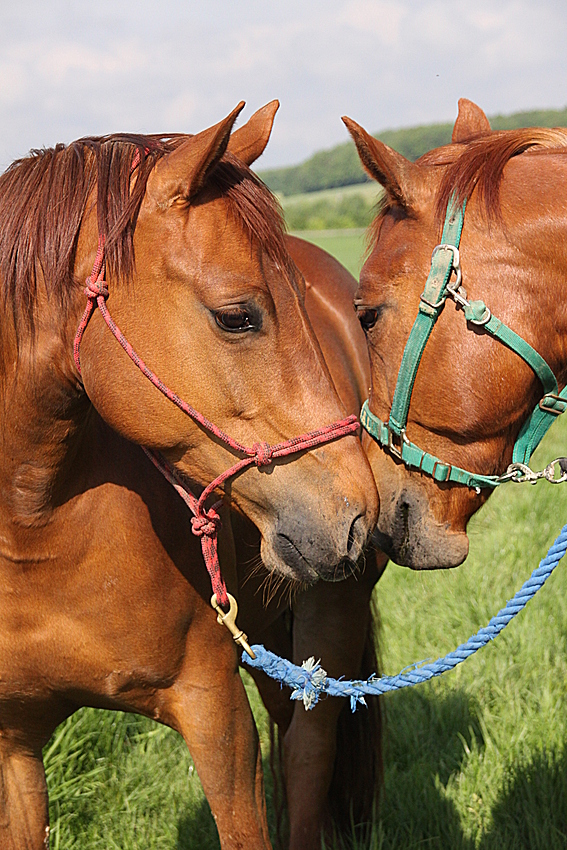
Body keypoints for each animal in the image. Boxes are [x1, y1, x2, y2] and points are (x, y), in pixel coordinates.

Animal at [0, 102, 382, 844]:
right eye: (237, 317)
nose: (355, 513)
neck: (33, 530)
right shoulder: (11, 748)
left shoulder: (213, 713)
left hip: (331, 606)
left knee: (307, 750)